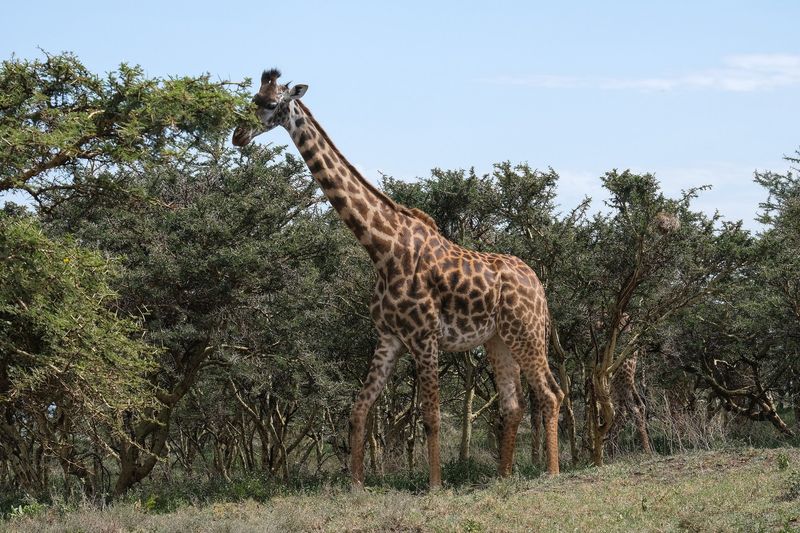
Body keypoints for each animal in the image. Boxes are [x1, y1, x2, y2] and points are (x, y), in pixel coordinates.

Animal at [232, 69, 563, 488]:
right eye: (253, 98)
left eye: (271, 103)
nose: (238, 134)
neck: (382, 249)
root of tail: (538, 283)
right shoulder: (389, 337)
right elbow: (359, 408)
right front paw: (355, 483)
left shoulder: (425, 337)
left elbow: (431, 417)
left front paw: (435, 485)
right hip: (498, 340)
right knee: (513, 403)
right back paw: (504, 477)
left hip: (527, 333)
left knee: (551, 394)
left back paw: (552, 473)